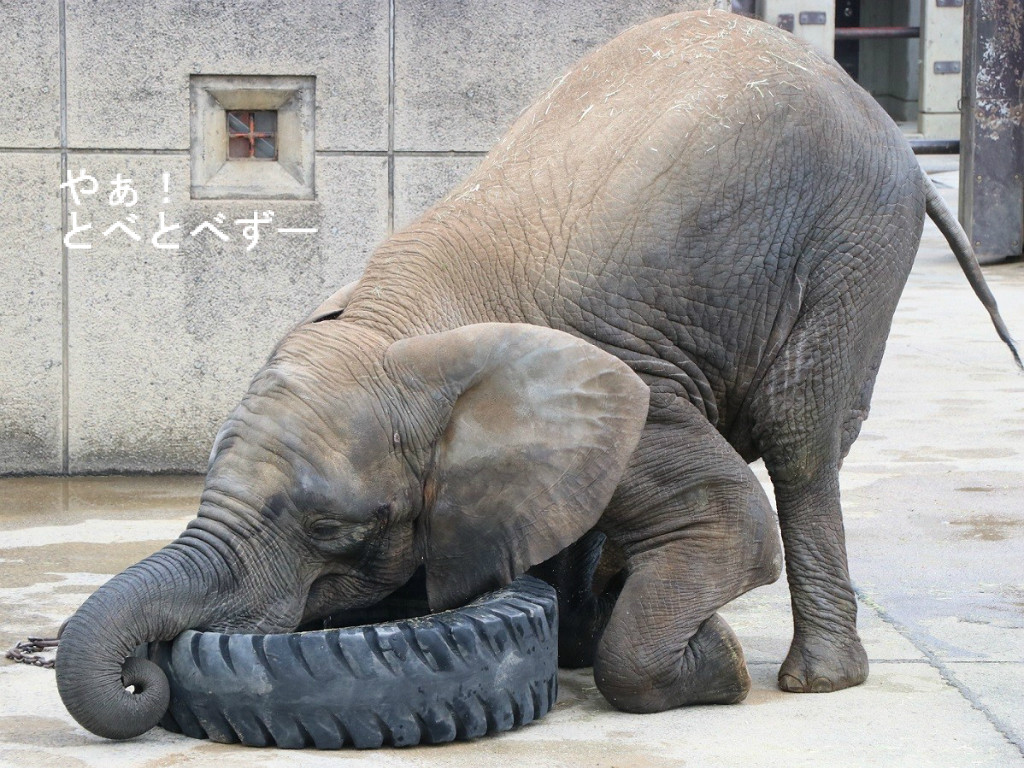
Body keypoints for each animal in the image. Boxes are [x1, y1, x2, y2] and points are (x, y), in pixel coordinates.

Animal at [56, 9, 1020, 739]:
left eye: (334, 529)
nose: (146, 673)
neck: (400, 323)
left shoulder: (641, 402)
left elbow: (732, 526)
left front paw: (714, 661)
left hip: (855, 253)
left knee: (801, 442)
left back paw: (814, 680)